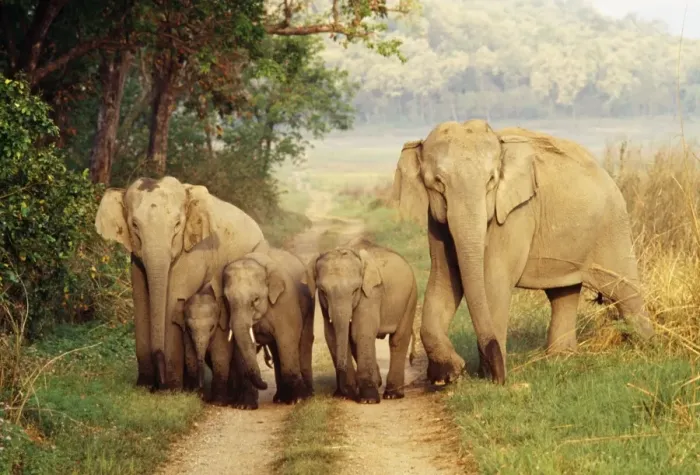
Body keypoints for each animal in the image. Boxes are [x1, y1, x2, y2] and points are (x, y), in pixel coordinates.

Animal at [94, 176, 269, 391]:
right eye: (134, 225)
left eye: (177, 224)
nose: (158, 382)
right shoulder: (136, 261)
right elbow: (141, 304)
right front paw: (144, 386)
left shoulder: (194, 253)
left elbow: (172, 303)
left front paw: (170, 389)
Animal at [222, 247, 315, 407]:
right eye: (227, 300)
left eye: (255, 300)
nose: (265, 384)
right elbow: (240, 347)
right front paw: (245, 406)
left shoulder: (285, 300)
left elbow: (287, 339)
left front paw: (296, 400)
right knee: (276, 350)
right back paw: (280, 398)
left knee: (303, 343)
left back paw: (307, 396)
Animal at [307, 238, 418, 404]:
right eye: (322, 291)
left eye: (355, 290)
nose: (340, 392)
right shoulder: (323, 304)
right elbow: (332, 335)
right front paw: (346, 395)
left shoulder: (371, 293)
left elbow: (361, 333)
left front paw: (368, 399)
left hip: (411, 297)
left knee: (398, 340)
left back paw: (392, 394)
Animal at [391, 120, 655, 386]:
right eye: (437, 183)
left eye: (491, 180)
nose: (499, 376)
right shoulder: (435, 222)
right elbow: (443, 279)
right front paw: (447, 376)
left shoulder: (514, 215)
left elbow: (493, 282)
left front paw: (489, 379)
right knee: (563, 294)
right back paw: (561, 357)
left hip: (612, 228)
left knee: (625, 290)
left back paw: (648, 346)